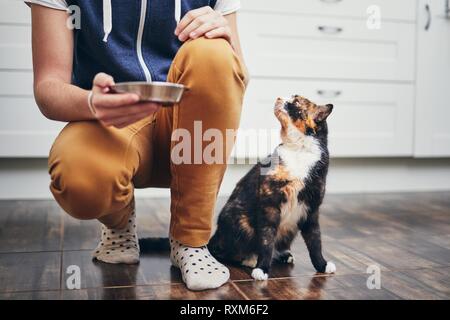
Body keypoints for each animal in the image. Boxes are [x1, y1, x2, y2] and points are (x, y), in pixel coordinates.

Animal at [207, 95, 334, 280]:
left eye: (296, 101)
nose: (279, 97)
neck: (299, 150)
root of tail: (215, 237)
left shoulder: (311, 209)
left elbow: (315, 241)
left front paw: (322, 265)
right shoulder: (269, 205)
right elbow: (266, 240)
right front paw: (262, 268)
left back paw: (284, 255)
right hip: (240, 221)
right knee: (223, 252)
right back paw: (250, 259)